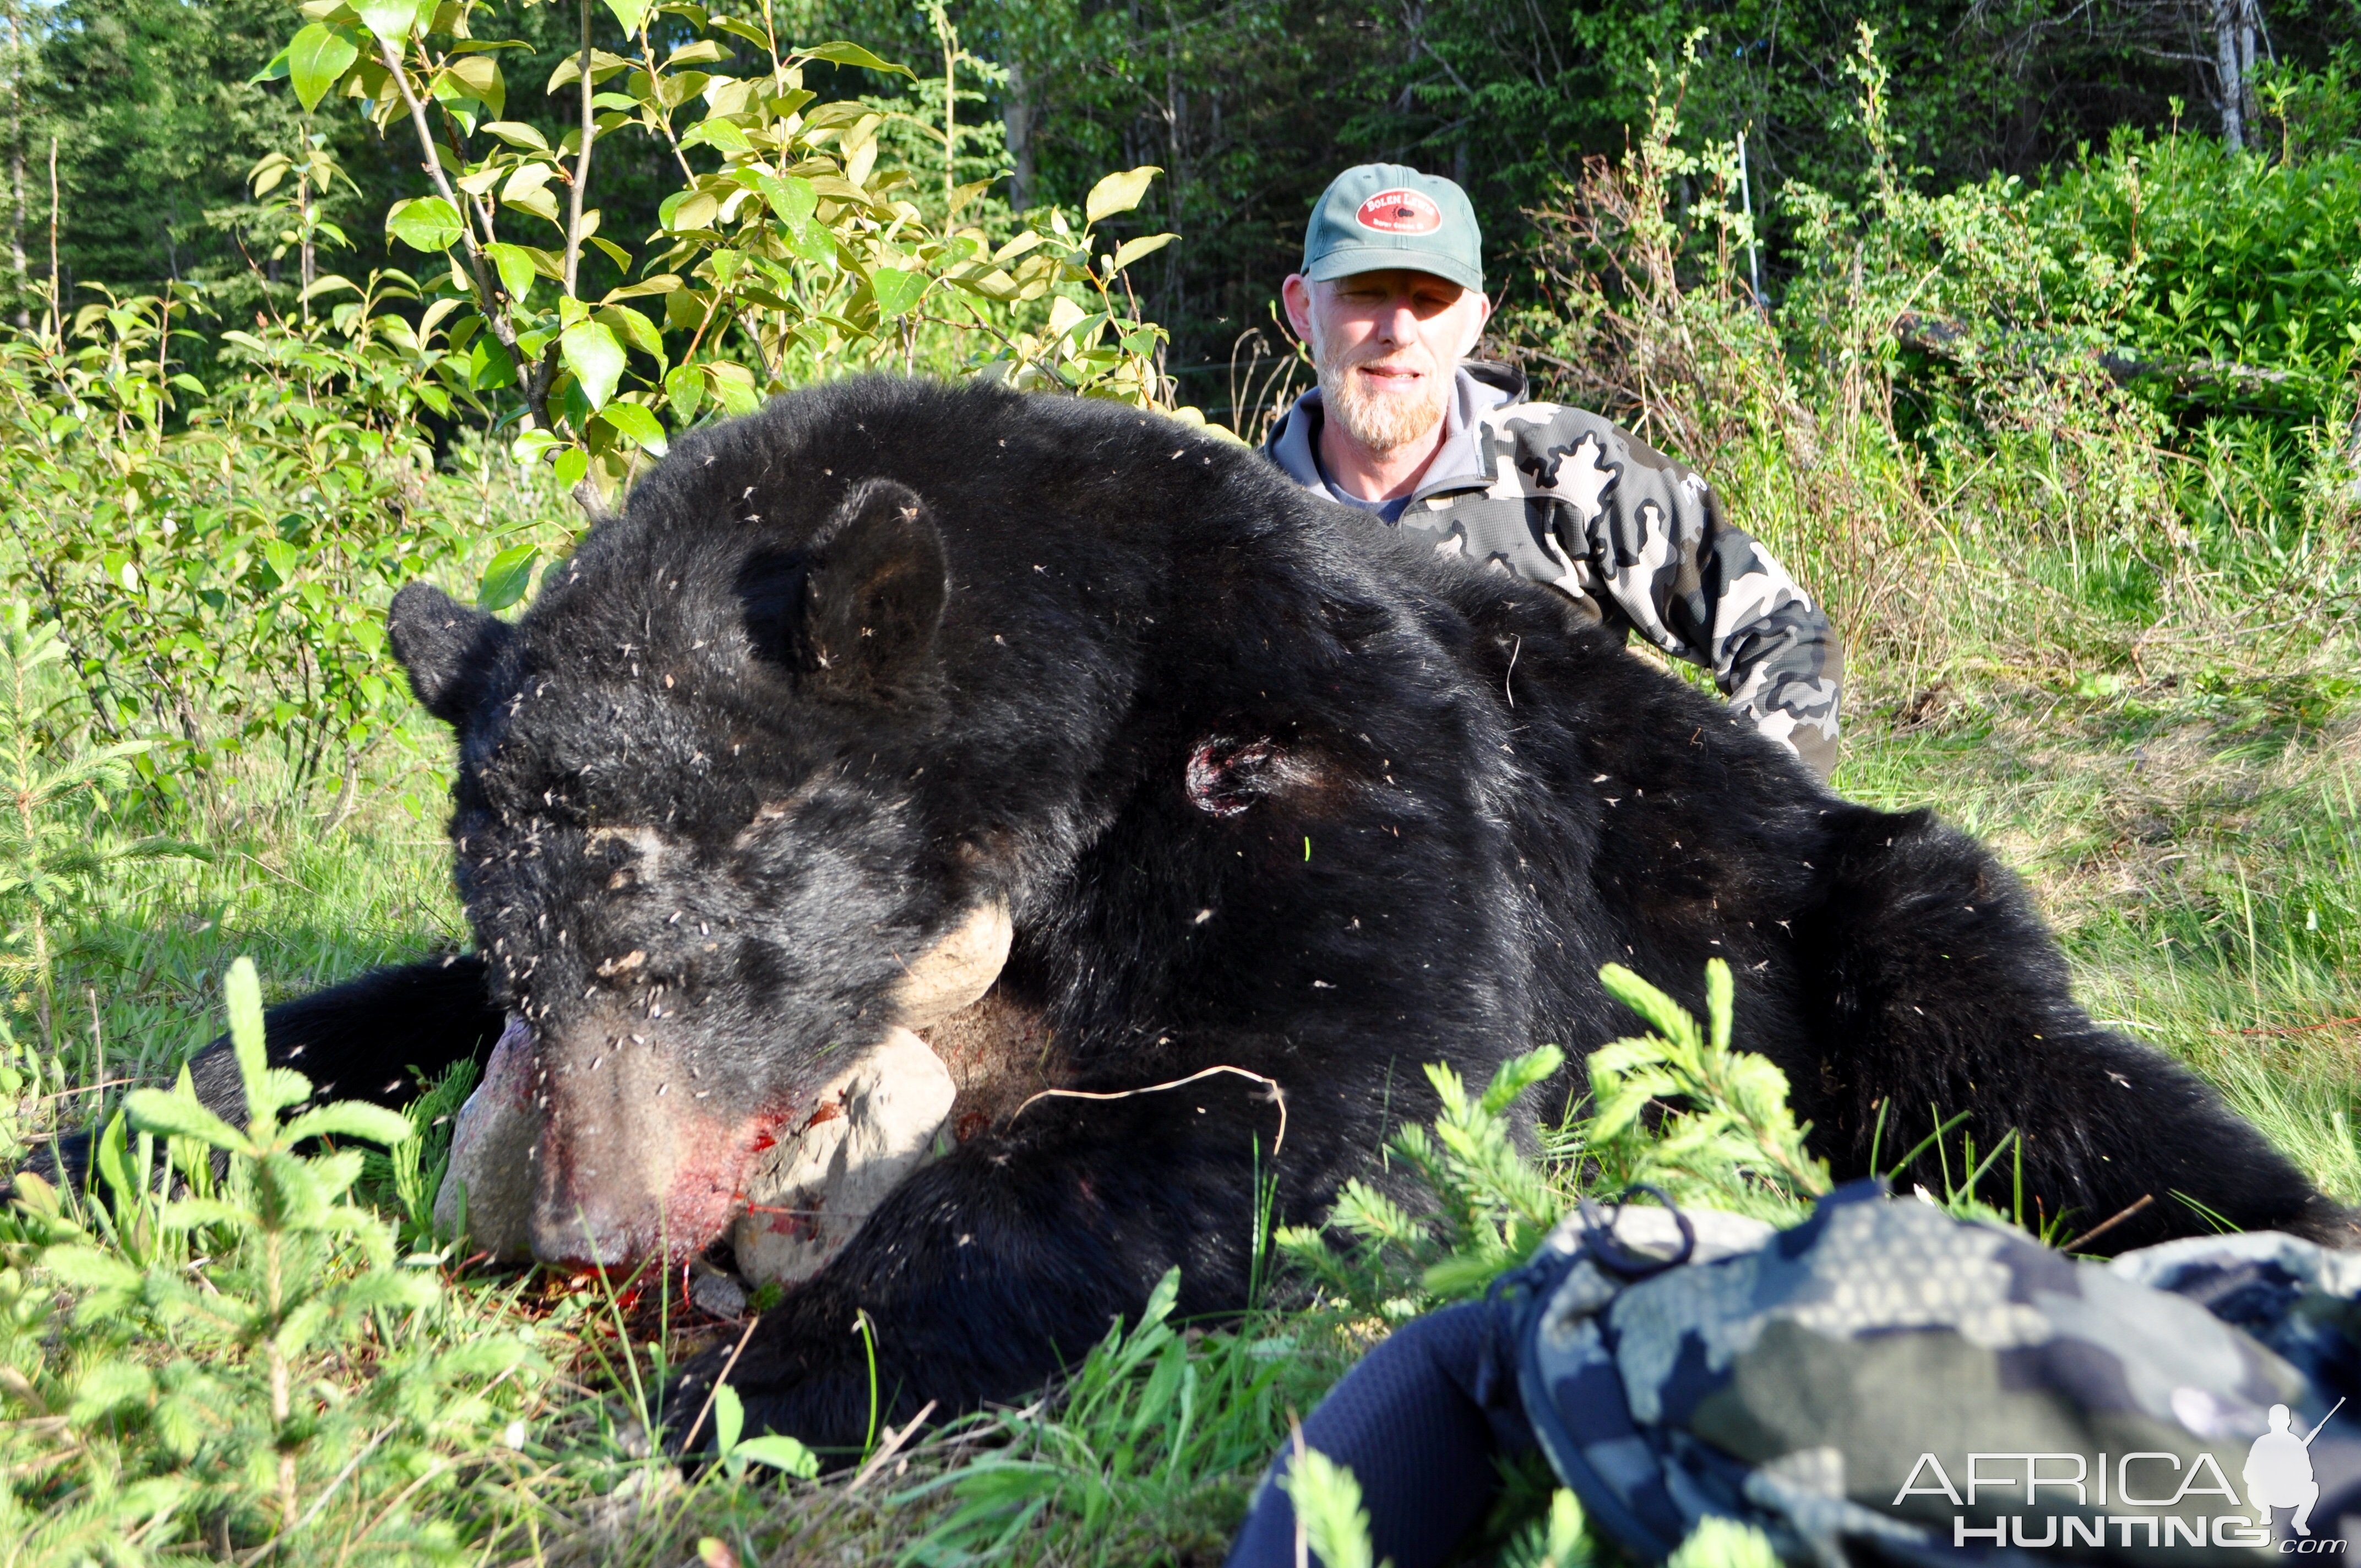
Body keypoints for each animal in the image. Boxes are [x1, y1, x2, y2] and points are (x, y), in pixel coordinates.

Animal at [69, 378, 2342, 1445]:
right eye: (528, 936)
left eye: (661, 931)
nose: (585, 1222)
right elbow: (317, 1023)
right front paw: (108, 1137)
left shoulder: (1315, 730)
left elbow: (1327, 1083)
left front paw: (769, 1372)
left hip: (1837, 904)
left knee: (2020, 1054)